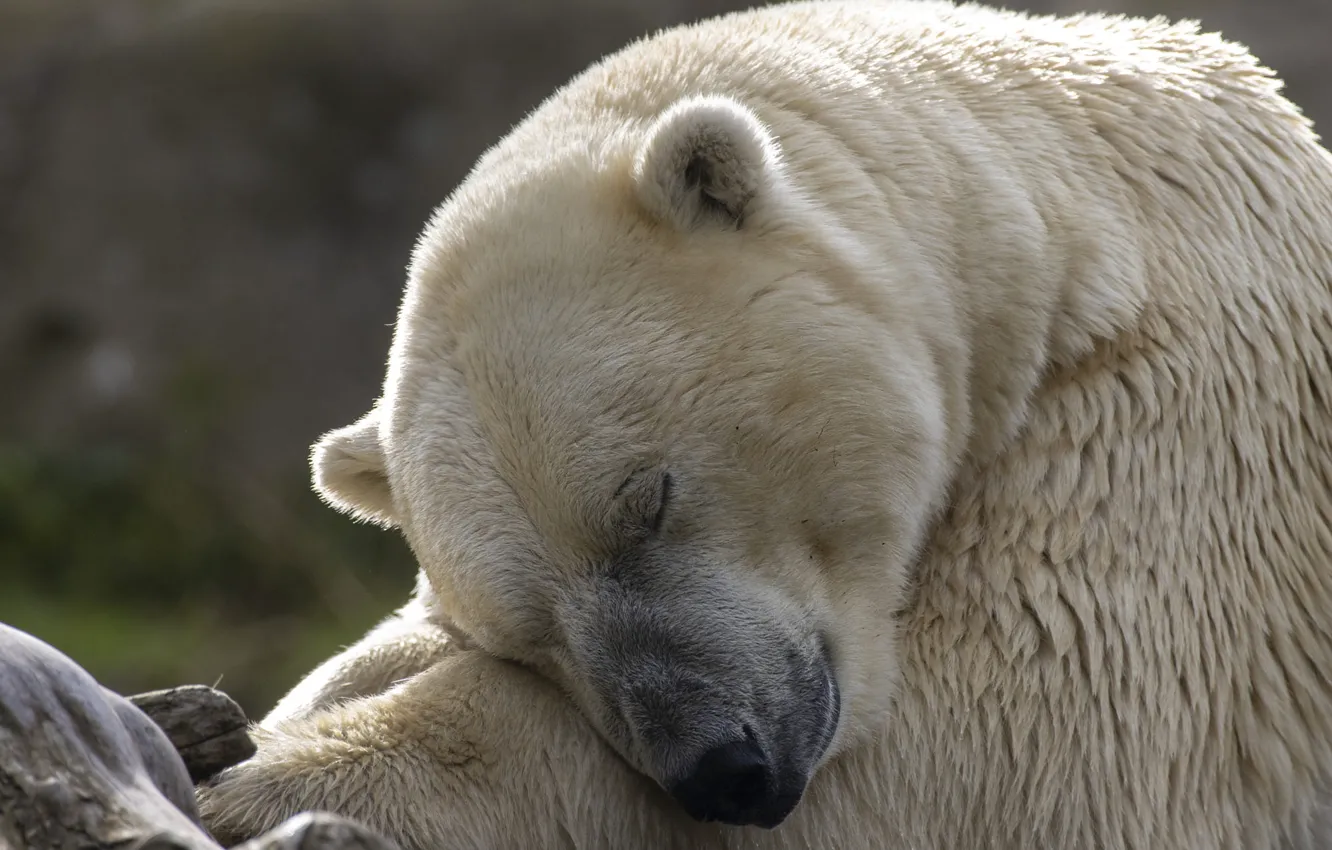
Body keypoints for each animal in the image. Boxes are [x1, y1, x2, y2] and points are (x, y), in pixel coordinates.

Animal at [196, 1, 1332, 848]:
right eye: (524, 633)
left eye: (648, 499)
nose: (723, 769)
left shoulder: (1175, 413)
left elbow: (1007, 747)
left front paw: (263, 784)